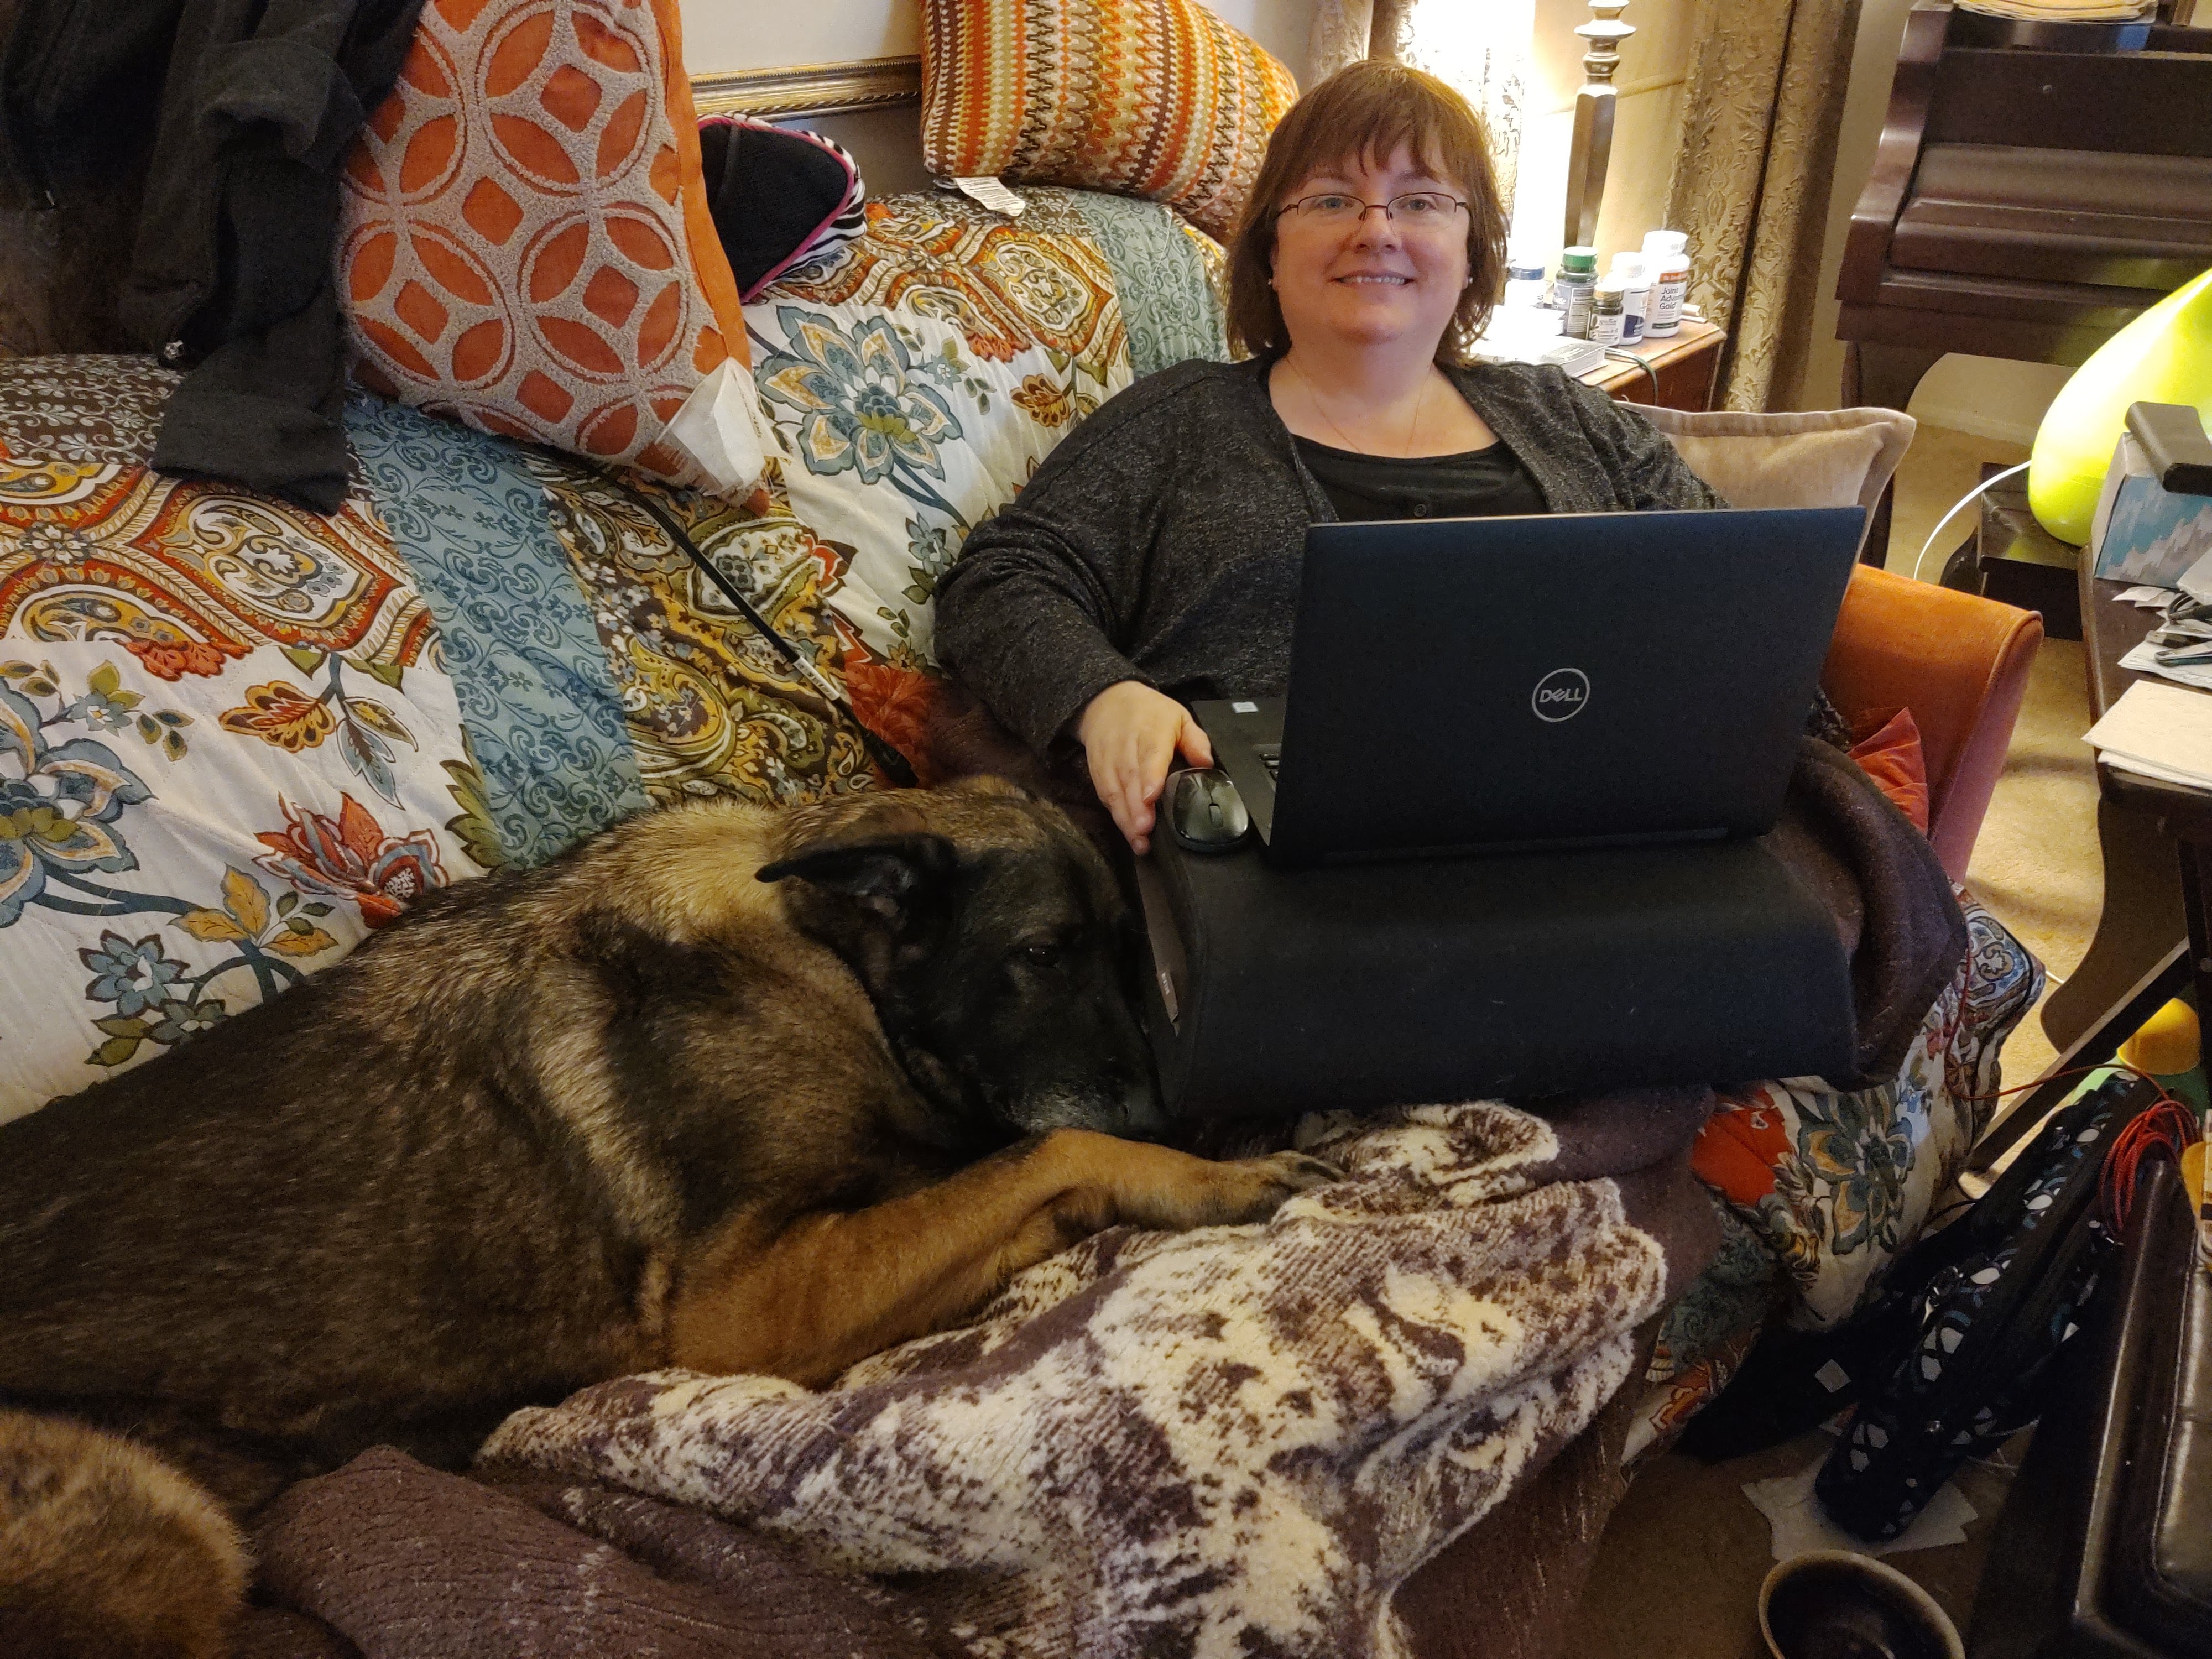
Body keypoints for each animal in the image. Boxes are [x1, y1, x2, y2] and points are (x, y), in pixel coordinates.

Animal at [0, 783, 1336, 1659]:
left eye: (1130, 954)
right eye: (1045, 955)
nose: (1172, 1105)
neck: (817, 944)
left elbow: (1003, 1170)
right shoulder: (740, 1307)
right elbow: (1046, 1149)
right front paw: (1194, 1174)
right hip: (158, 1518)